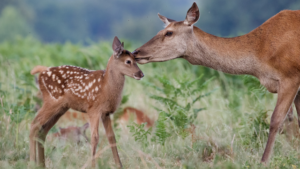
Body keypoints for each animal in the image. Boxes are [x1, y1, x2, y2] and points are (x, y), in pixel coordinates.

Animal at [29, 36, 144, 168]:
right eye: (128, 61)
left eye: (136, 59)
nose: (141, 74)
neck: (106, 87)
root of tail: (41, 74)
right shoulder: (93, 109)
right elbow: (95, 137)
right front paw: (93, 165)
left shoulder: (105, 113)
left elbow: (111, 137)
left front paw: (119, 165)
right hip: (52, 101)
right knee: (34, 124)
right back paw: (32, 162)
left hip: (61, 108)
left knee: (42, 130)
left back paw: (41, 164)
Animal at [134, 1, 300, 164]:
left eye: (169, 32)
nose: (136, 52)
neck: (260, 56)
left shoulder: (290, 77)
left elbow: (276, 120)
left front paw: (264, 161)